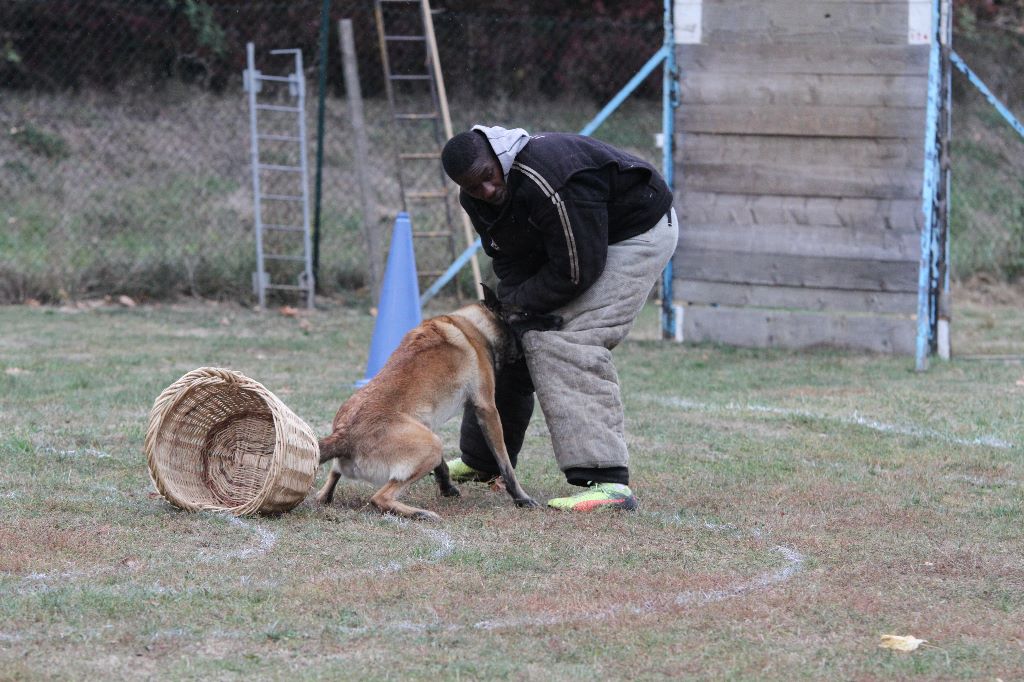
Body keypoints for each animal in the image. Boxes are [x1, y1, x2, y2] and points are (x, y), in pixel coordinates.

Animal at [317, 284, 561, 518]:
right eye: (524, 313)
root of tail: (344, 435)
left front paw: (446, 487)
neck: (477, 327)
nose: (558, 319)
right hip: (432, 444)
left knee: (329, 483)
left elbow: (443, 465)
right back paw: (421, 514)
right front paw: (521, 498)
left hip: (427, 439)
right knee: (380, 498)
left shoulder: (428, 421)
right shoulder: (487, 408)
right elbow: (505, 463)